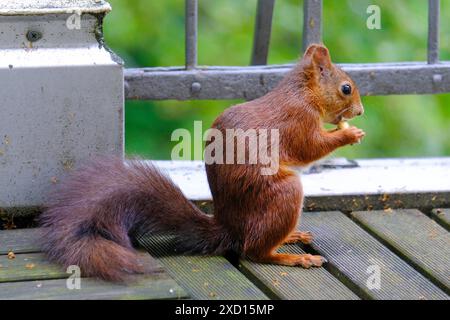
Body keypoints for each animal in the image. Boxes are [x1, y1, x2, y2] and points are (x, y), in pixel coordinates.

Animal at [39, 43, 366, 282]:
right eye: (346, 88)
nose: (360, 112)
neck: (303, 92)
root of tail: (230, 228)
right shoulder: (297, 120)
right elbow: (310, 147)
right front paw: (349, 135)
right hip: (283, 194)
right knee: (254, 252)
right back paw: (294, 257)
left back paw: (292, 236)